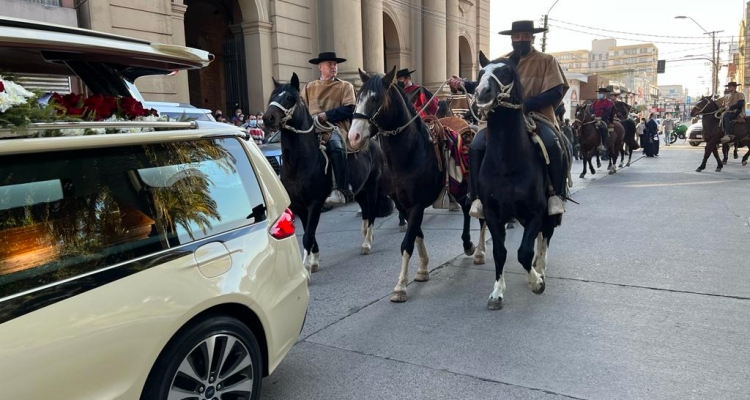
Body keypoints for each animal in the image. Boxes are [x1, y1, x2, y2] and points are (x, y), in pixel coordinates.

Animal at [352, 66, 488, 304]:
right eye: (358, 97)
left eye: (375, 98)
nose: (354, 136)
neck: (410, 153)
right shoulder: (403, 205)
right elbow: (417, 235)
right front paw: (423, 269)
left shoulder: (416, 205)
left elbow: (407, 242)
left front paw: (400, 286)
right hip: (459, 189)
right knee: (464, 209)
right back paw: (467, 244)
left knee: (480, 218)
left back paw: (479, 252)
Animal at [470, 53, 568, 310]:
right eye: (480, 73)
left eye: (506, 73)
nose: (482, 92)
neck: (507, 163)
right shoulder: (493, 214)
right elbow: (500, 252)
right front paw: (497, 293)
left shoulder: (535, 211)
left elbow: (524, 252)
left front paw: (536, 282)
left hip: (547, 211)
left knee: (545, 235)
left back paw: (540, 268)